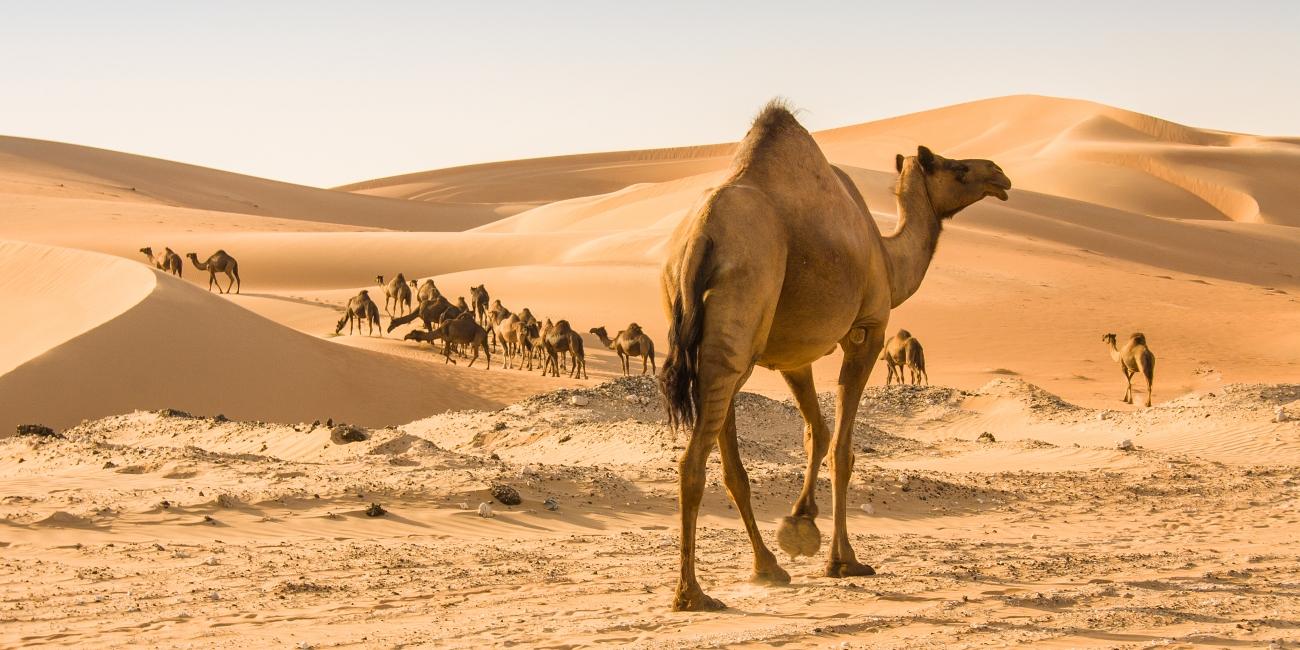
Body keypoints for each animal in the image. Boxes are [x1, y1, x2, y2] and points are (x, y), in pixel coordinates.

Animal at [655, 101, 1008, 608]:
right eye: (955, 166)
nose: (999, 173)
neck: (888, 257)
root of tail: (700, 238)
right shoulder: (869, 330)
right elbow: (842, 448)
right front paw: (843, 560)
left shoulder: (791, 355)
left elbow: (816, 434)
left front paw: (800, 523)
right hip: (738, 323)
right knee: (692, 462)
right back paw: (693, 593)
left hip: (716, 343)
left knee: (729, 465)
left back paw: (767, 567)